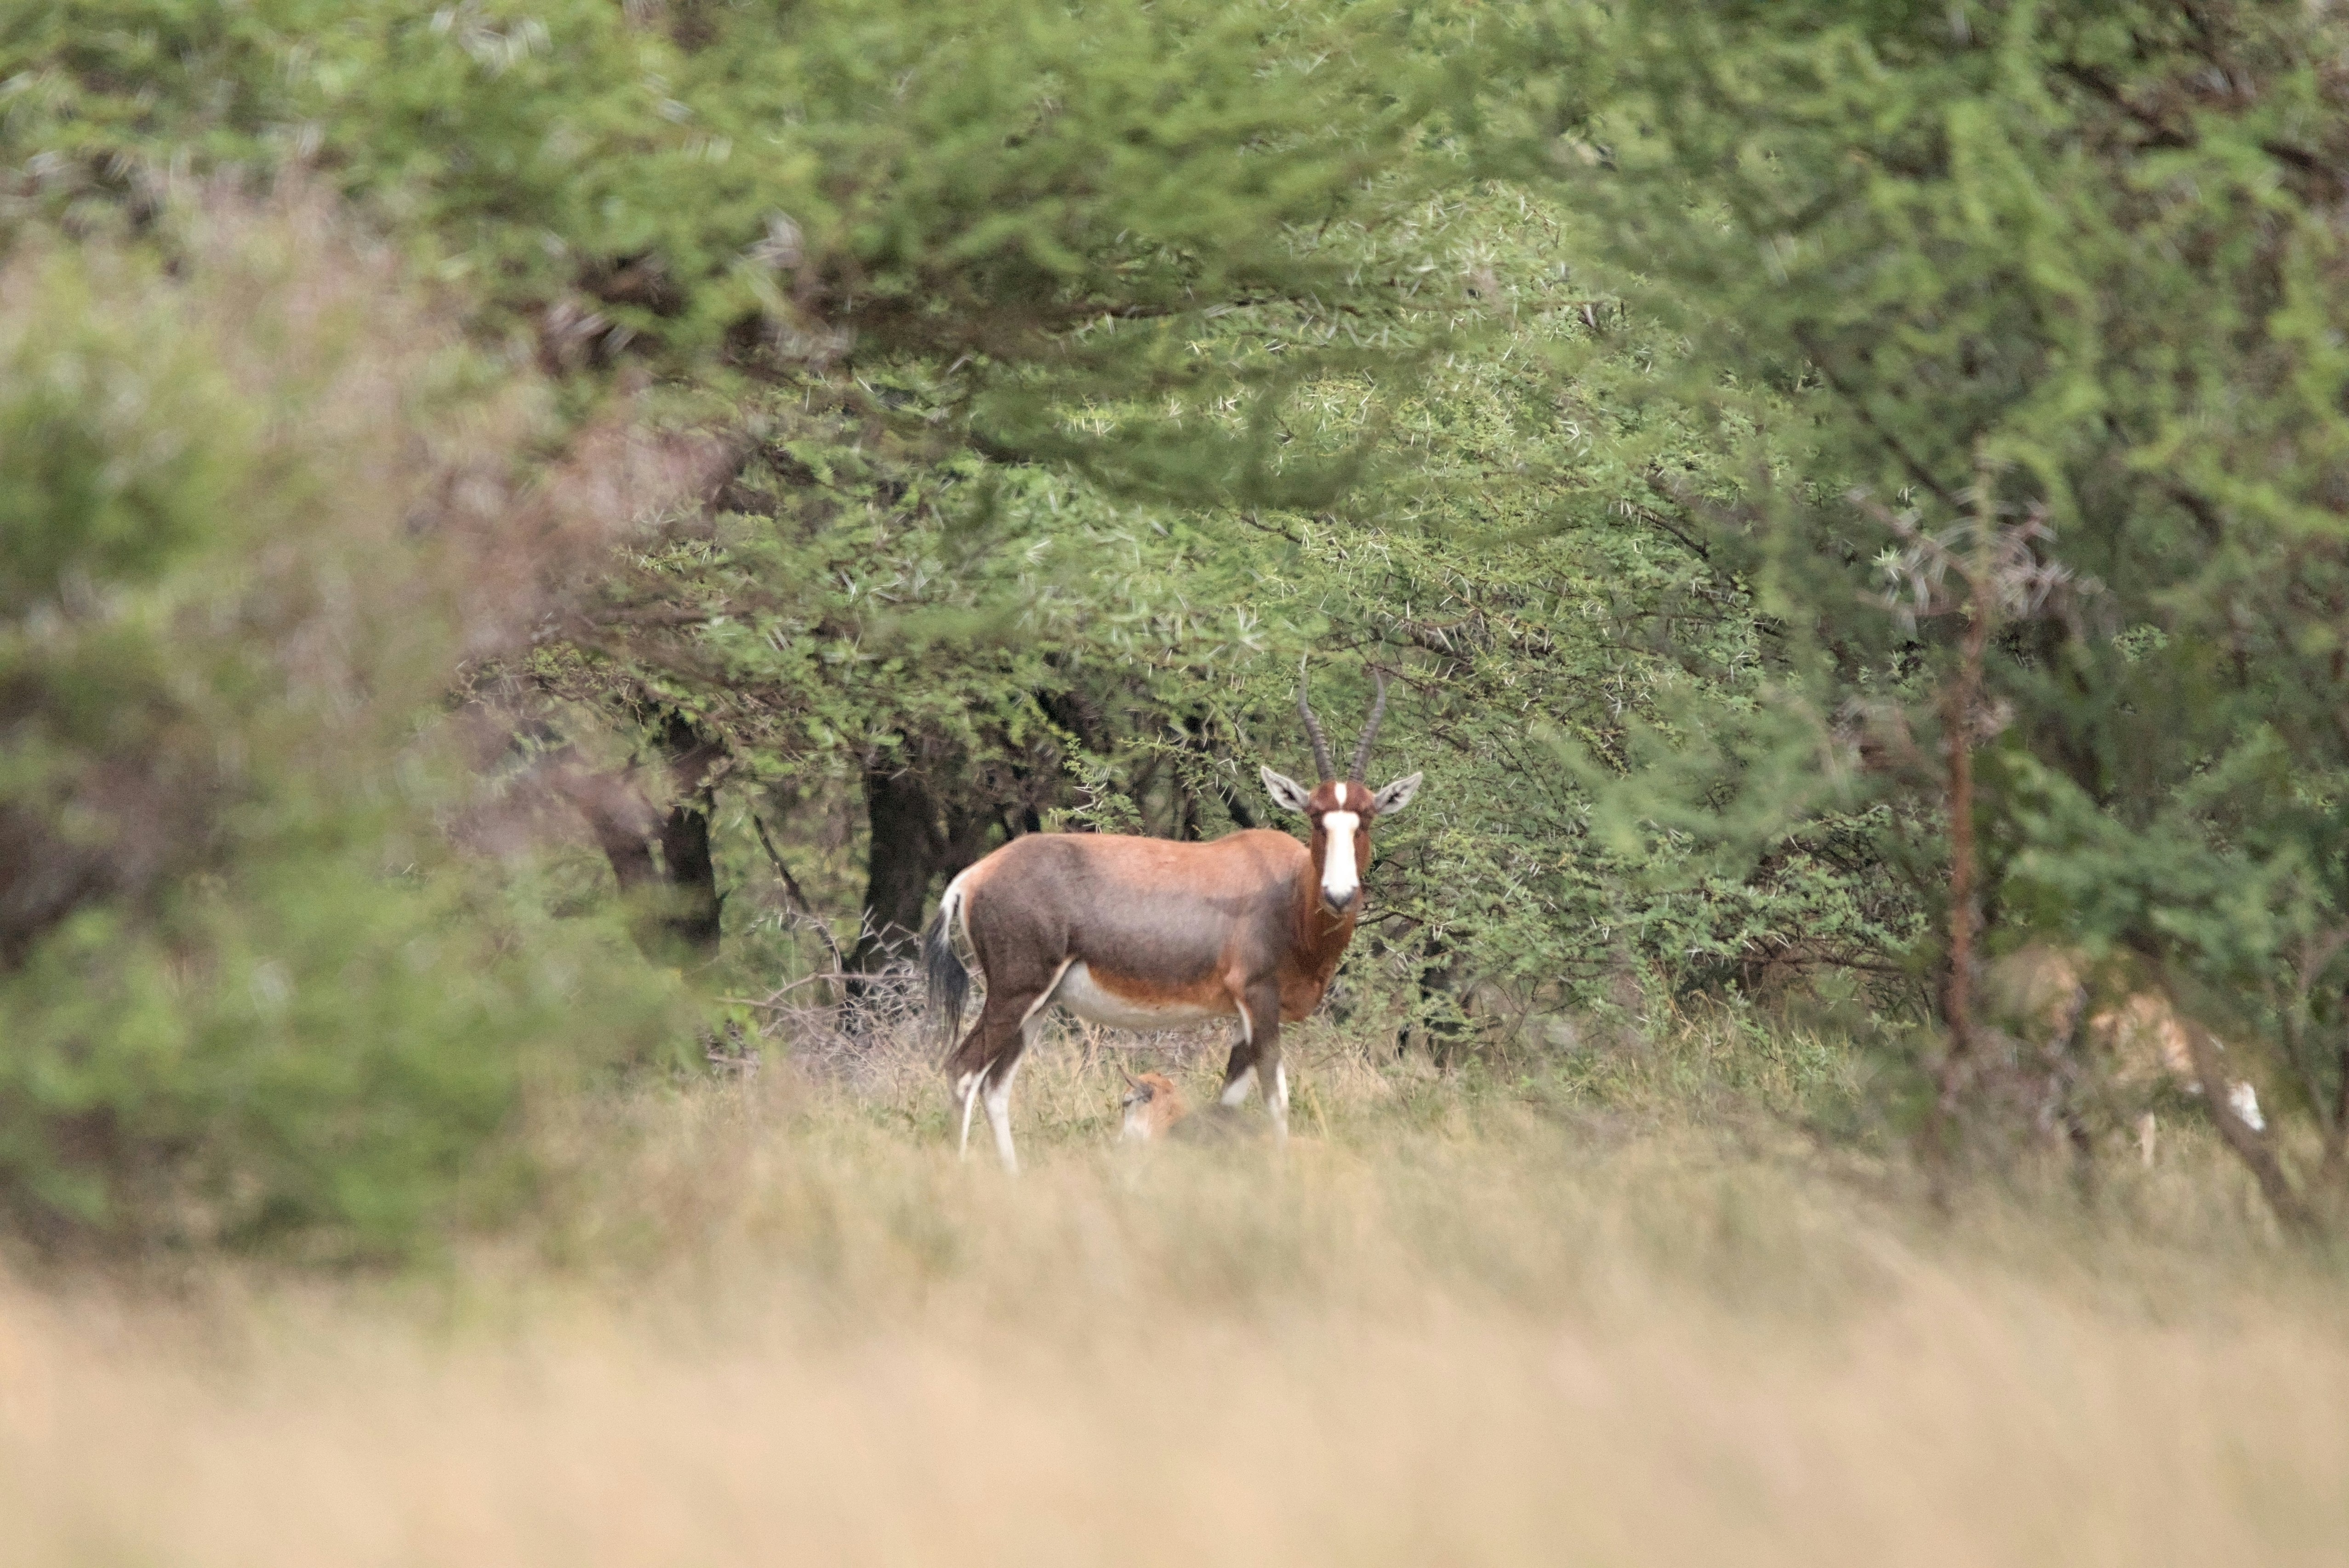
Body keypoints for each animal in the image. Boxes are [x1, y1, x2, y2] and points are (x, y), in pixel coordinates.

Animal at [923, 672, 1421, 1171]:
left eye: (1366, 818)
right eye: (1316, 817)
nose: (1339, 895)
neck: (1287, 888)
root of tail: (974, 875)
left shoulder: (1242, 1015)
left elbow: (1228, 1102)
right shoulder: (1259, 999)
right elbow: (1276, 1101)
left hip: (1040, 1003)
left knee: (996, 1085)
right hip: (1015, 992)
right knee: (963, 1072)